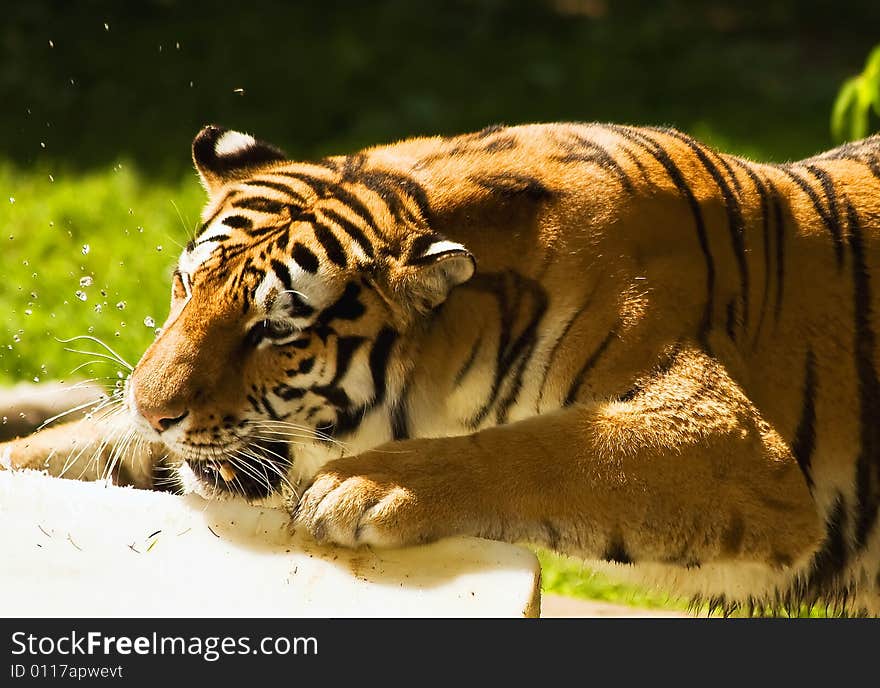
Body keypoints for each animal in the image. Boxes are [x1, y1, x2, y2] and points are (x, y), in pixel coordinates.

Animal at [1, 123, 880, 620]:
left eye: (275, 327)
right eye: (185, 287)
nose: (154, 410)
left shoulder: (735, 442)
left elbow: (555, 450)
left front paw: (367, 489)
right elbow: (73, 446)